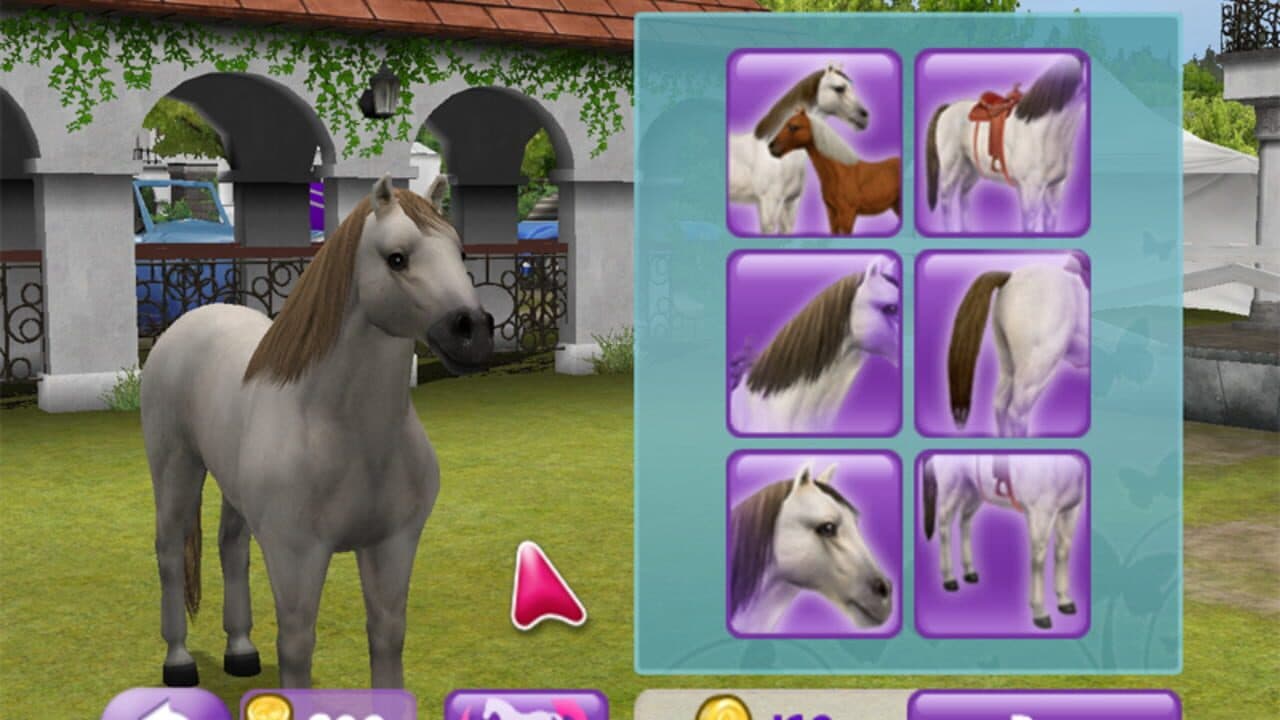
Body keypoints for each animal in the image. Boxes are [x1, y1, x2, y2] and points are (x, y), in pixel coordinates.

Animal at [140, 175, 494, 689]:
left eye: (460, 252)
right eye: (397, 258)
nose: (474, 333)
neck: (348, 432)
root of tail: (190, 320)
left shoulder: (393, 544)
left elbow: (387, 635)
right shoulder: (296, 553)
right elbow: (297, 645)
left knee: (232, 549)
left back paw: (241, 652)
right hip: (175, 468)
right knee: (169, 552)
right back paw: (179, 661)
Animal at [921, 453, 1087, 629]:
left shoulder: (1070, 511)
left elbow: (1062, 553)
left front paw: (1064, 601)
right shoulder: (1041, 512)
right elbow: (1038, 561)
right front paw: (1040, 612)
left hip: (974, 491)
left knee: (965, 521)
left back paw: (969, 571)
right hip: (951, 489)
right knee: (945, 526)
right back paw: (949, 579)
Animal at [925, 55, 1087, 233]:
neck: (1043, 131)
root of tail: (947, 109)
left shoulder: (1055, 189)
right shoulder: (1030, 192)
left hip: (972, 169)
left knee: (963, 195)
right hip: (951, 169)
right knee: (946, 201)